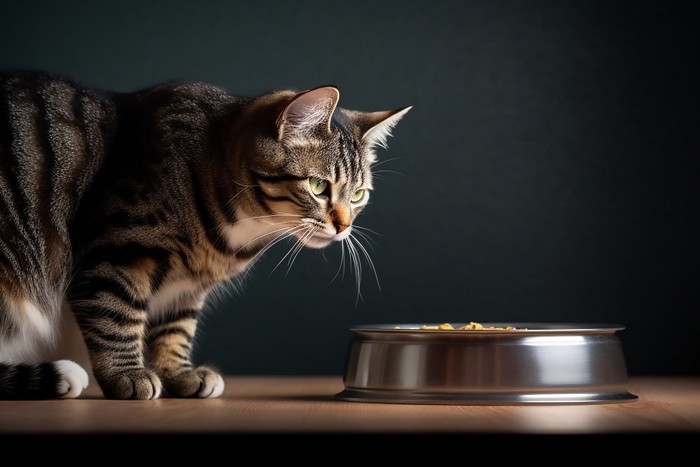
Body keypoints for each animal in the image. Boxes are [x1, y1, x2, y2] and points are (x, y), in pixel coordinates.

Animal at [0, 71, 410, 400]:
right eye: (318, 187)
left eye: (358, 195)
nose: (344, 225)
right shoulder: (115, 248)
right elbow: (115, 314)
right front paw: (127, 375)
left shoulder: (186, 286)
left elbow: (175, 328)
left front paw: (177, 374)